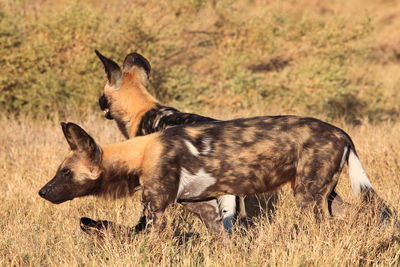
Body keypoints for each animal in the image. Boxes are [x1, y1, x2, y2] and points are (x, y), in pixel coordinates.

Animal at [38, 118, 390, 236]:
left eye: (66, 172)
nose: (42, 192)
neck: (141, 153)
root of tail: (342, 132)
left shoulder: (157, 212)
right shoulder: (204, 208)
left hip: (307, 199)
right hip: (324, 196)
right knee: (364, 214)